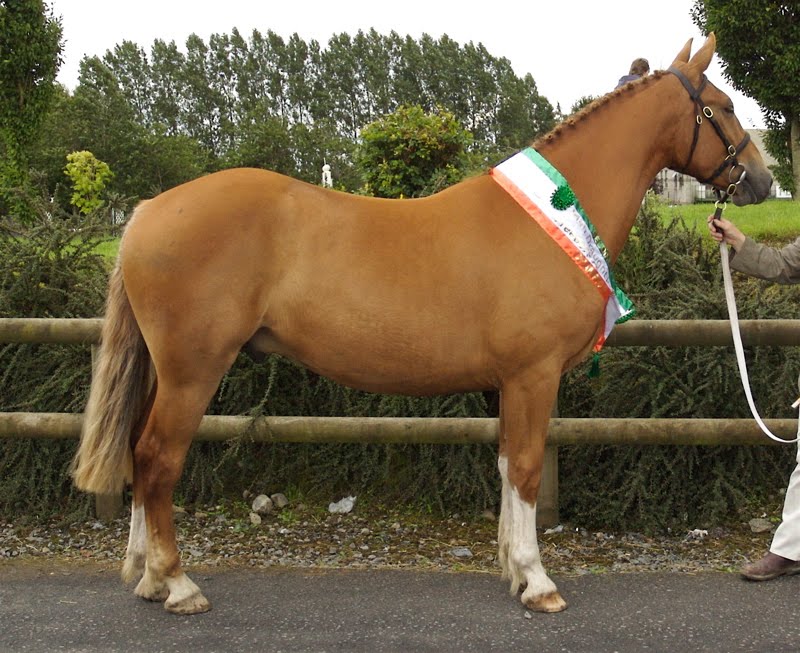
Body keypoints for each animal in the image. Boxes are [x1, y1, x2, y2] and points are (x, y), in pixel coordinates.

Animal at [72, 33, 772, 615]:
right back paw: (178, 584)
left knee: (136, 451)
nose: (763, 181)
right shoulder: (534, 375)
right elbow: (525, 468)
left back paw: (146, 574)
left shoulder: (505, 384)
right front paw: (537, 581)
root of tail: (147, 211)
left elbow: (505, 466)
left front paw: (511, 570)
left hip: (166, 370)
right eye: (722, 106)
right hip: (193, 370)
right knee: (157, 458)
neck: (550, 219)